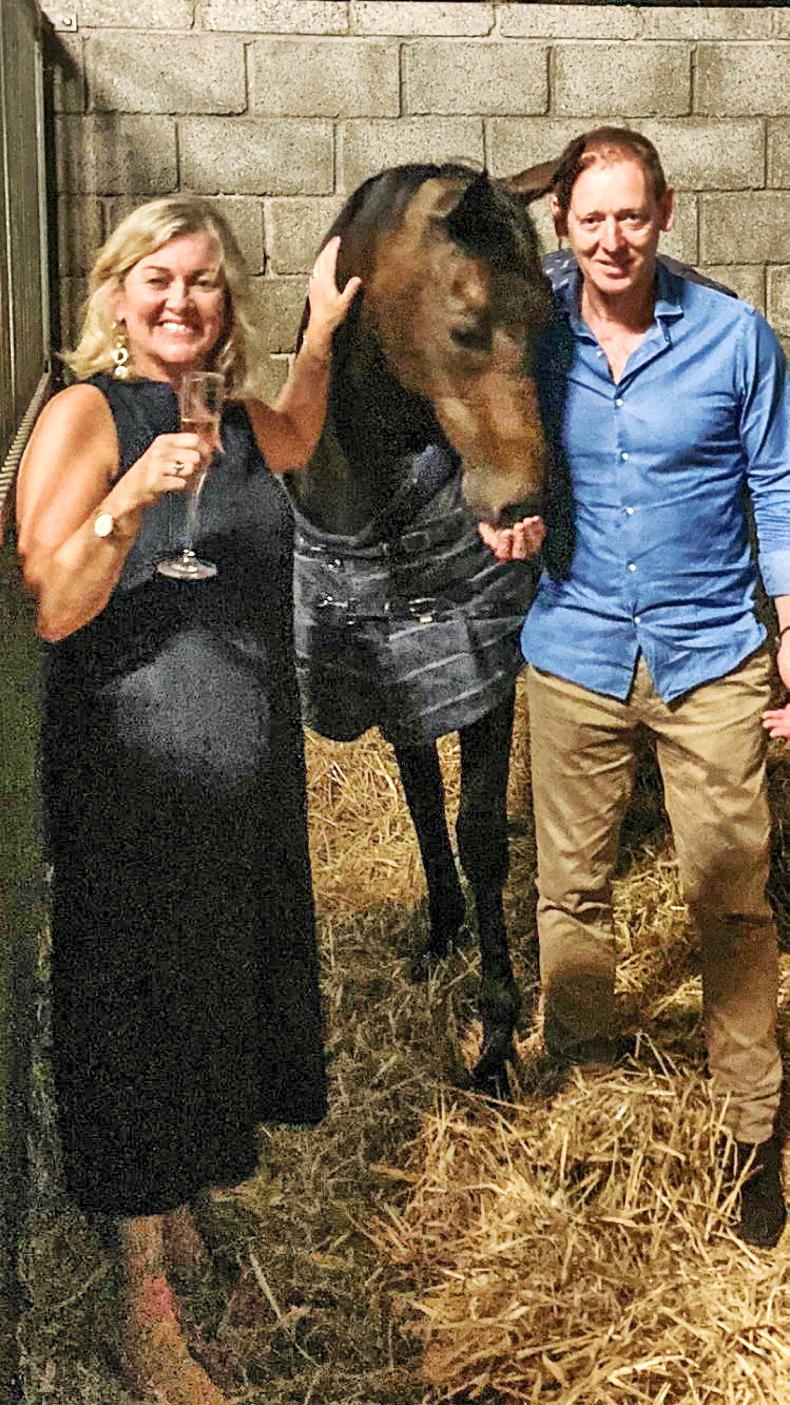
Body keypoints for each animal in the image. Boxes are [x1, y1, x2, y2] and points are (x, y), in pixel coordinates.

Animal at [286, 162, 560, 1094]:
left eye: (551, 322)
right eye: (467, 327)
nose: (525, 507)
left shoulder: (483, 672)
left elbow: (479, 833)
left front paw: (497, 1038)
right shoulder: (396, 675)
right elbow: (419, 799)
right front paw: (441, 931)